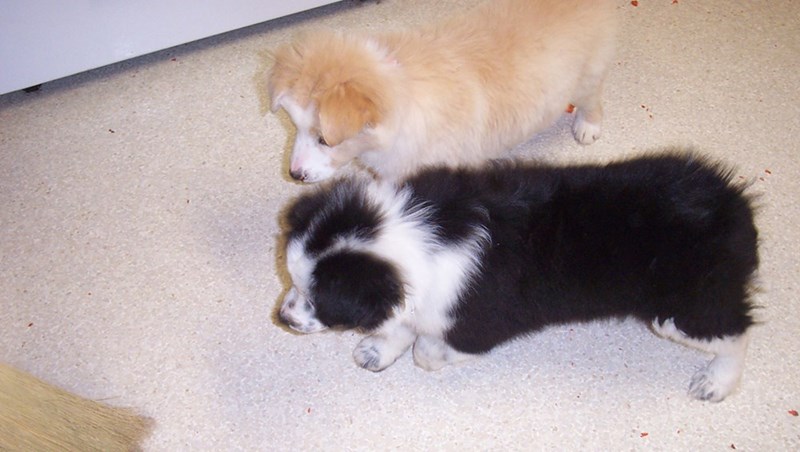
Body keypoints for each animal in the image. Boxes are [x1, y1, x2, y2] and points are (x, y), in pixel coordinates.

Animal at [267, 0, 617, 182]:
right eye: (294, 127)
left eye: (325, 140)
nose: (294, 175)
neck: (404, 93)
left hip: (588, 74)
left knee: (593, 100)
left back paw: (588, 126)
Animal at [277, 151, 760, 402]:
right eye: (293, 284)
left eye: (316, 299)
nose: (282, 318)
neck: (415, 230)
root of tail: (733, 205)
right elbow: (400, 319)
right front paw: (377, 350)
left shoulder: (477, 322)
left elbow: (429, 350)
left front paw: (419, 350)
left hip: (684, 305)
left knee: (736, 332)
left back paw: (716, 382)